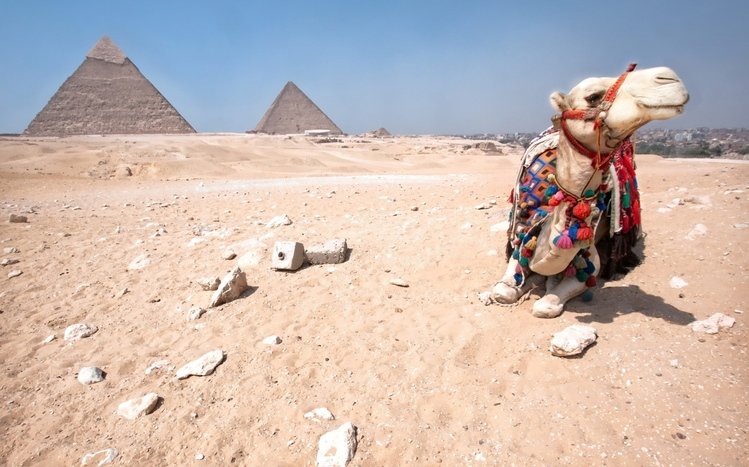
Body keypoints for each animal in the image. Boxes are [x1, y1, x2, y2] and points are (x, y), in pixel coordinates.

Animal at [489, 64, 689, 318]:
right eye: (593, 96)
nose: (668, 77)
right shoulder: (521, 237)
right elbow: (502, 291)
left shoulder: (589, 261)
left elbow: (547, 304)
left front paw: (549, 284)